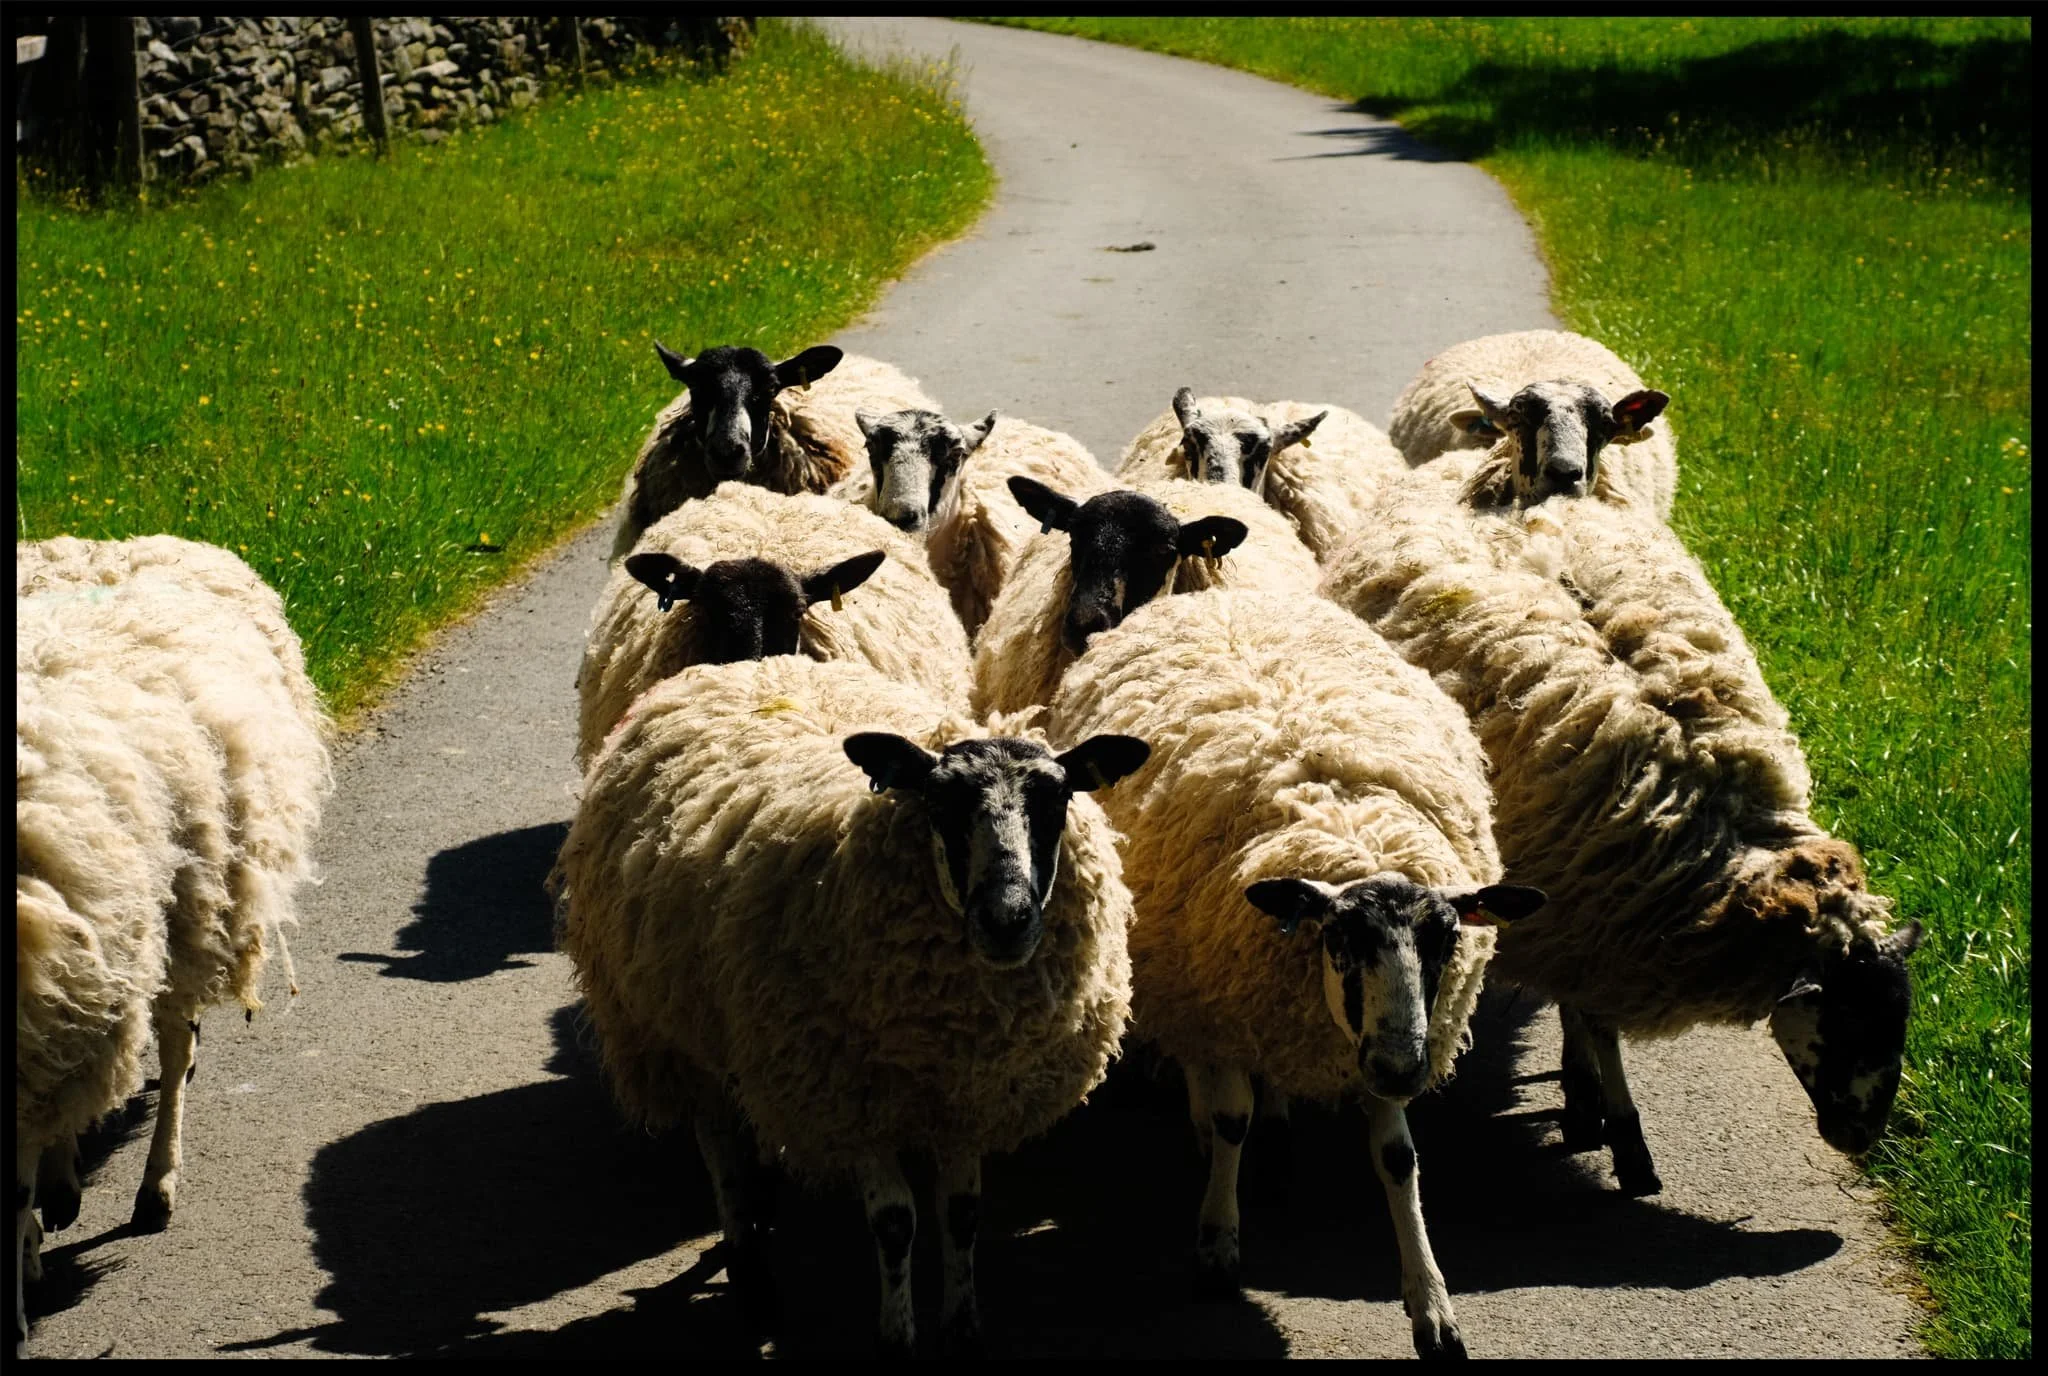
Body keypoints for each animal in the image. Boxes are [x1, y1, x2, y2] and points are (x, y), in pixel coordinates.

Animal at [550, 653, 1149, 1355]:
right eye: (939, 801)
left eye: (1057, 799)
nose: (1007, 919)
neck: (954, 1023)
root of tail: (745, 664)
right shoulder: (847, 1095)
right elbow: (895, 1222)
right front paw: (898, 1333)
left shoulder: (967, 1093)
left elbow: (962, 1214)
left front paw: (962, 1324)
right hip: (673, 1028)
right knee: (719, 1144)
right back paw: (750, 1271)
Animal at [1043, 587, 1546, 1360]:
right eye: (1341, 938)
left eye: (1447, 938)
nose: (1402, 1070)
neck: (1348, 823)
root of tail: (1213, 594)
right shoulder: (1219, 1009)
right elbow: (1231, 1120)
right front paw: (1218, 1245)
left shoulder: (1370, 1045)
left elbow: (1399, 1159)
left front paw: (1432, 1307)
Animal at [1319, 454, 1921, 1195]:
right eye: (1845, 1021)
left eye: (1899, 1021)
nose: (1860, 1138)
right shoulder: (1580, 911)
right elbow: (1597, 1022)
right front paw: (1622, 1134)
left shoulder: (1589, 913)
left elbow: (1585, 1014)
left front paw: (1587, 1100)